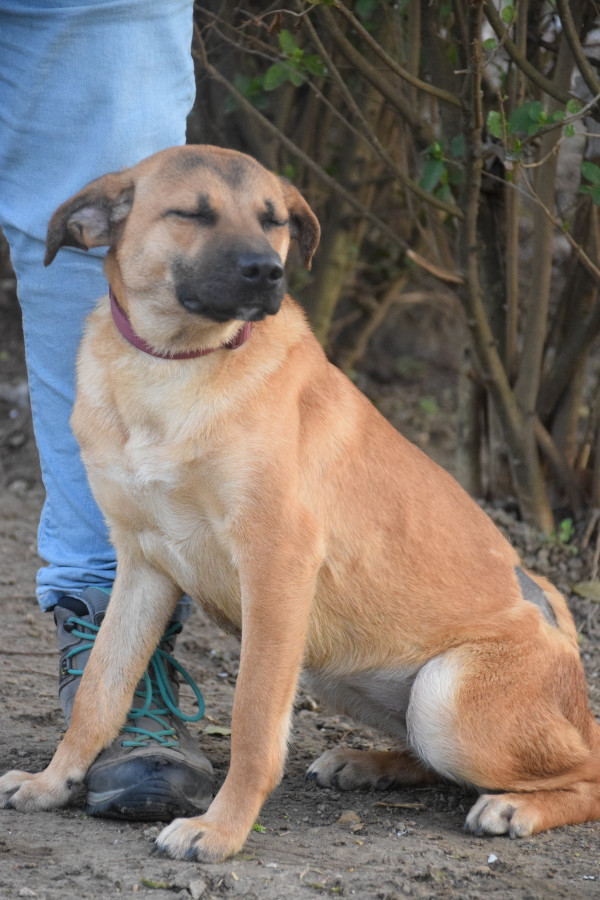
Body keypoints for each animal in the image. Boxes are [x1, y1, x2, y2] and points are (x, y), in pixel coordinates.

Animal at [1, 145, 599, 863]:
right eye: (191, 213)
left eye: (274, 220)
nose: (269, 271)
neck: (176, 365)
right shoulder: (143, 565)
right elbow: (100, 691)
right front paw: (53, 781)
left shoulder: (276, 567)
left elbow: (254, 719)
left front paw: (221, 829)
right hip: (341, 674)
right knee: (435, 762)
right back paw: (368, 764)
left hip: (443, 700)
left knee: (585, 771)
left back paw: (514, 806)